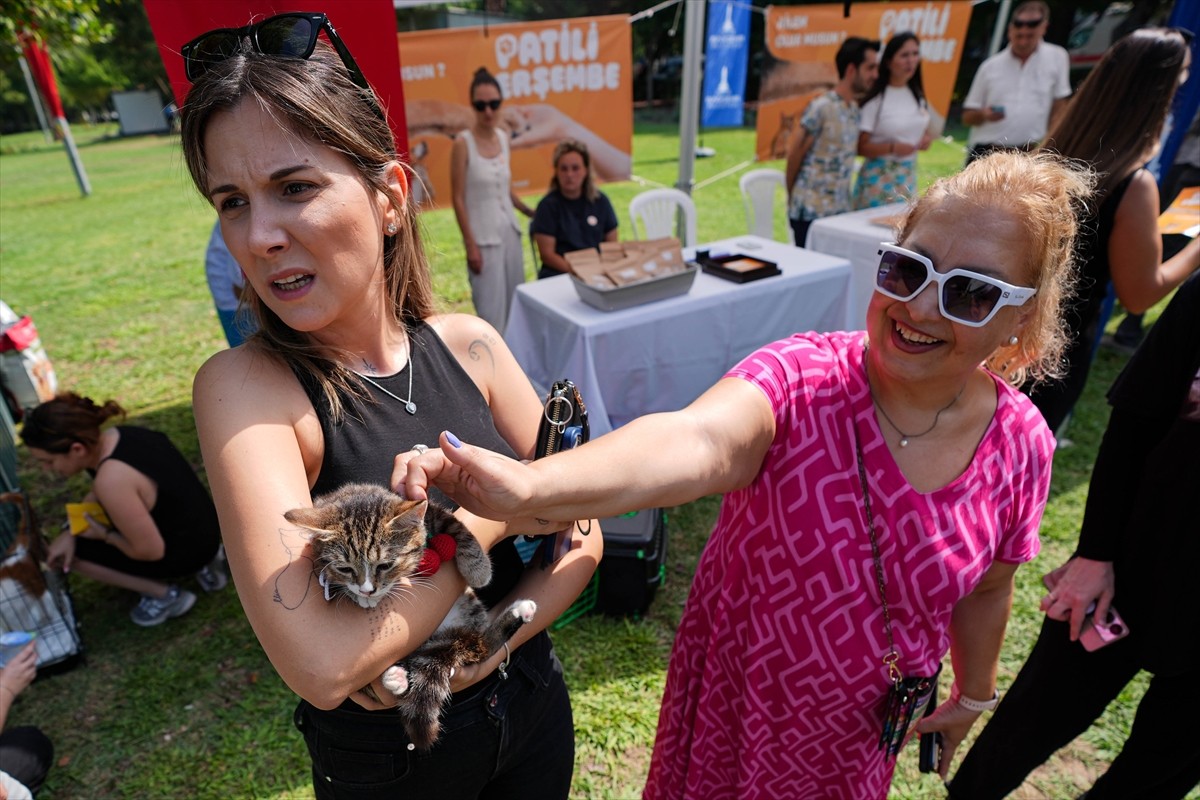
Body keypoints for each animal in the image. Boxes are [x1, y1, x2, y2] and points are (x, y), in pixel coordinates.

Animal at [283, 482, 537, 753]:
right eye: (345, 569)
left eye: (385, 565)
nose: (367, 589)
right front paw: (359, 596)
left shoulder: (430, 515)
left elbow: (455, 525)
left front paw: (478, 569)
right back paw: (396, 679)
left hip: (469, 610)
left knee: (481, 647)